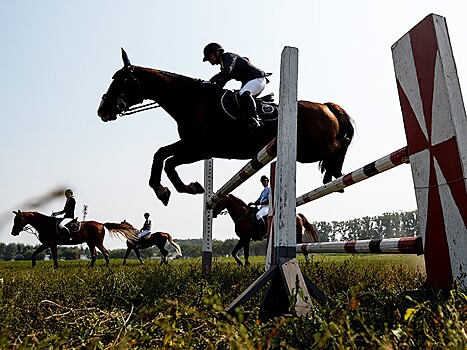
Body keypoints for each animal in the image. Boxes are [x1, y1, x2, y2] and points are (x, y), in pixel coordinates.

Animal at [98, 50, 354, 208]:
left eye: (120, 80)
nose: (102, 110)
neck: (191, 101)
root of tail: (325, 106)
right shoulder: (189, 144)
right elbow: (160, 154)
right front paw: (161, 190)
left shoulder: (200, 149)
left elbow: (169, 163)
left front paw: (188, 188)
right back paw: (333, 177)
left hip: (311, 150)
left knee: (342, 143)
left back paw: (335, 173)